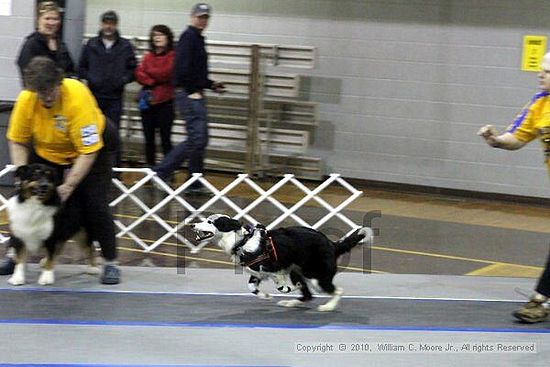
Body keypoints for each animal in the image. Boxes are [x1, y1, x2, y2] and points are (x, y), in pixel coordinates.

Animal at [191, 214, 376, 312]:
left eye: (210, 222)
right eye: (205, 220)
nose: (193, 224)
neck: (242, 242)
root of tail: (332, 244)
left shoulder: (275, 268)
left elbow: (280, 285)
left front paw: (287, 289)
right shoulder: (257, 272)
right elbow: (251, 287)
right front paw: (265, 296)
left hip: (314, 275)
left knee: (337, 290)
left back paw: (328, 307)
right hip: (298, 271)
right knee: (308, 295)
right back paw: (291, 303)